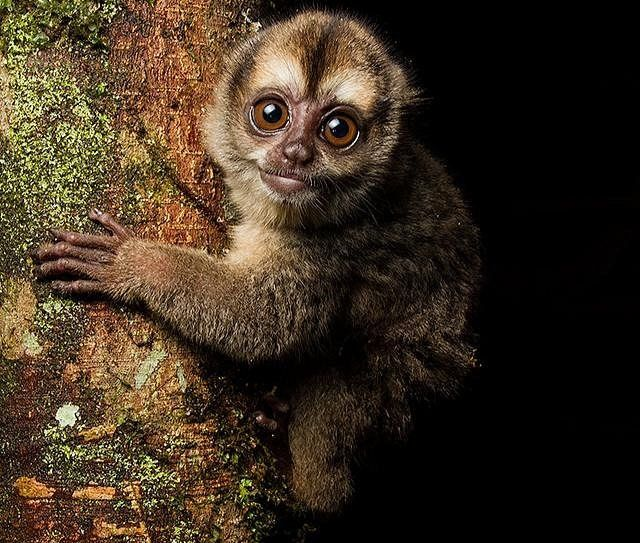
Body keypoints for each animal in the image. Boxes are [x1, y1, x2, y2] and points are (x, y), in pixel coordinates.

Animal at [32, 10, 481, 513]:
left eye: (338, 129)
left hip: (398, 401)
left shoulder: (330, 252)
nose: (295, 153)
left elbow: (264, 320)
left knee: (344, 385)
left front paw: (132, 265)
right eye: (272, 115)